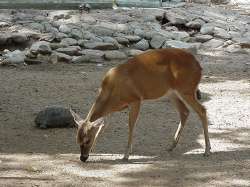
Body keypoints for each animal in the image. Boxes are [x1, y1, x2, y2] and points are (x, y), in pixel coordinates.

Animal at [70, 48, 211, 162]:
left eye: (87, 140)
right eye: (77, 140)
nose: (83, 158)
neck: (112, 90)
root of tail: (199, 66)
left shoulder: (136, 100)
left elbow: (131, 125)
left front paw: (126, 155)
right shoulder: (112, 109)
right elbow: (102, 126)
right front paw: (94, 151)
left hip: (186, 89)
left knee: (202, 110)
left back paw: (207, 150)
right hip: (172, 93)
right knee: (184, 112)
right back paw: (171, 146)